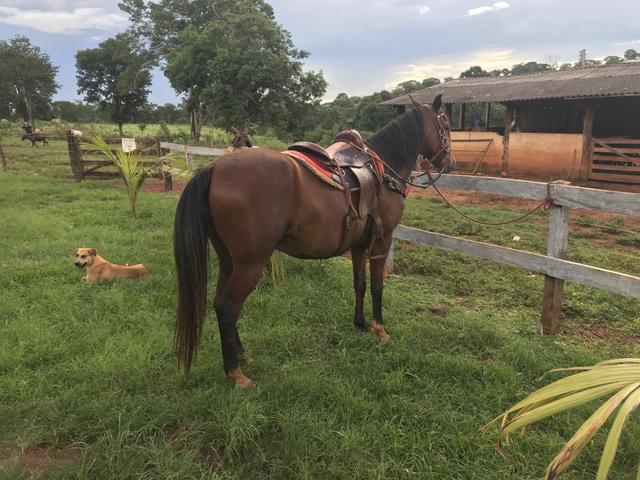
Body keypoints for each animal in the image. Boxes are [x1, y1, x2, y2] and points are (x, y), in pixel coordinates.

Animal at [174, 94, 452, 388]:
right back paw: (236, 374)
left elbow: (360, 284)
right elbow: (377, 286)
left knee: (219, 303)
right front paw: (379, 329)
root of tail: (214, 169)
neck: (383, 170)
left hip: (229, 260)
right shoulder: (382, 240)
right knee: (228, 308)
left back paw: (241, 355)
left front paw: (360, 324)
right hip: (250, 264)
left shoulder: (358, 245)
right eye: (445, 124)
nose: (450, 160)